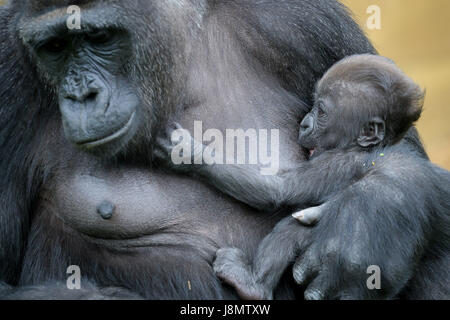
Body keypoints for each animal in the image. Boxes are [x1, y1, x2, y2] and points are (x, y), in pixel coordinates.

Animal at [156, 53, 438, 298]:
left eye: (321, 111)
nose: (304, 124)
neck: (362, 147)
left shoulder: (335, 163)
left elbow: (279, 189)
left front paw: (189, 153)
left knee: (290, 230)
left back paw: (252, 284)